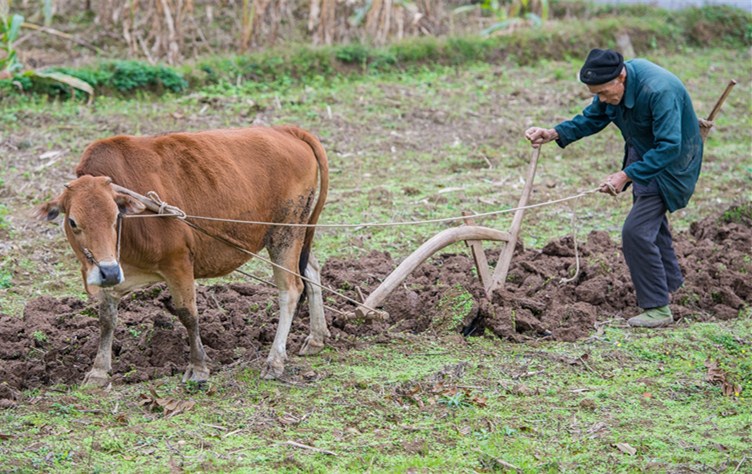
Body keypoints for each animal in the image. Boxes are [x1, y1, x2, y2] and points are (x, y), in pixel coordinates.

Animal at [36, 125, 328, 386]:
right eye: (73, 222)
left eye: (115, 217)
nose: (108, 271)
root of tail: (287, 130)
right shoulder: (114, 272)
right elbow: (107, 318)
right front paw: (98, 371)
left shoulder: (178, 263)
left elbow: (188, 314)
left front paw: (198, 368)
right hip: (297, 234)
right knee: (311, 269)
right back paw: (316, 338)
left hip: (285, 233)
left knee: (291, 288)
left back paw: (274, 362)